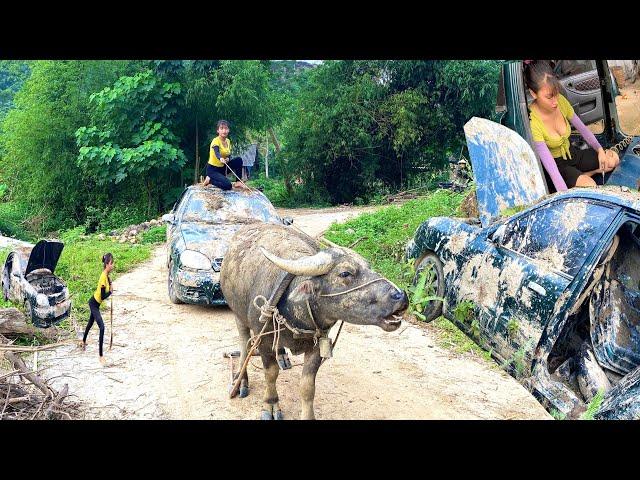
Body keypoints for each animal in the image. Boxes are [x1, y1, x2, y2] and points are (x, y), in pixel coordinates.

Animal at [222, 223, 408, 418]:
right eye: (345, 273)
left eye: (370, 267)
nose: (401, 296)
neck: (294, 312)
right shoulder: (264, 341)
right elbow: (271, 374)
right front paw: (270, 405)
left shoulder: (317, 346)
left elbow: (307, 386)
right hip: (238, 315)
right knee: (245, 345)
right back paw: (241, 380)